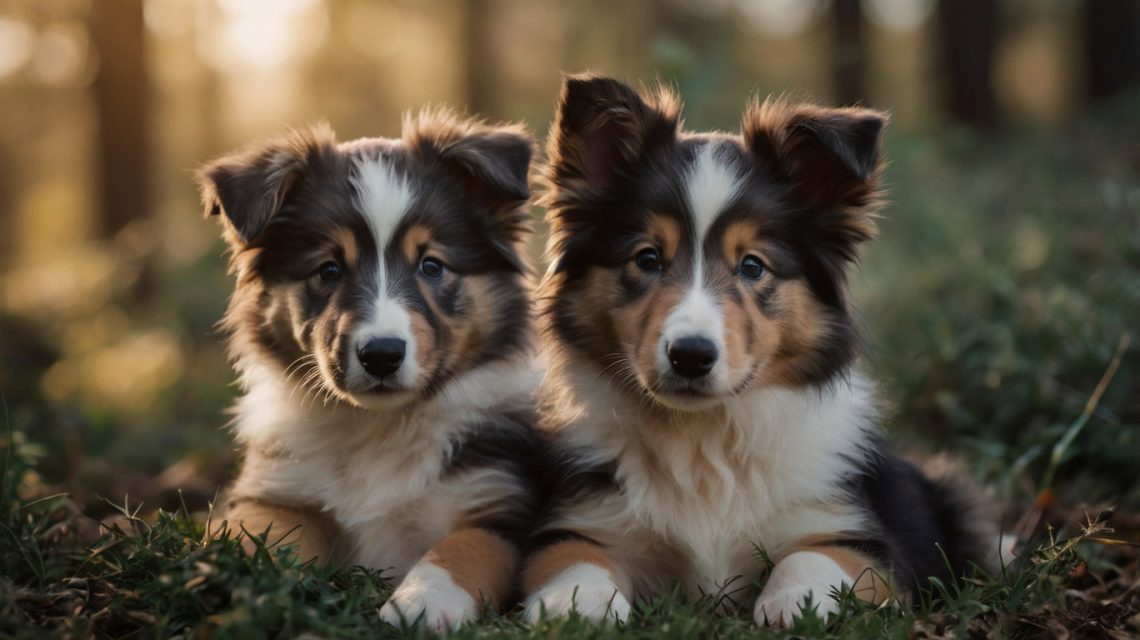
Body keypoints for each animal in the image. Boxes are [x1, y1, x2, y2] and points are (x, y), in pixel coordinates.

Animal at [196, 109, 542, 629]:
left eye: (432, 266)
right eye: (329, 270)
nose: (382, 354)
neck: (379, 426)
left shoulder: (499, 505)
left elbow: (461, 549)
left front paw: (420, 602)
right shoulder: (276, 493)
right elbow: (251, 532)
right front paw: (225, 569)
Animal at [524, 73, 998, 625]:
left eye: (753, 266)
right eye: (647, 258)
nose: (690, 356)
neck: (702, 436)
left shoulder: (860, 535)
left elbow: (811, 555)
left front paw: (796, 601)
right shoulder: (583, 517)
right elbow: (572, 557)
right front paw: (574, 604)